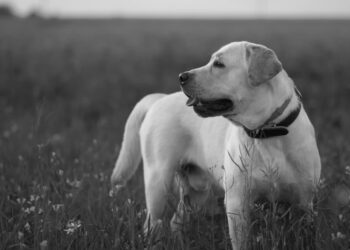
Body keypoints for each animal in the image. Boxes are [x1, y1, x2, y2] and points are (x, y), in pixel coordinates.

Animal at [110, 41, 322, 250]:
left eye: (219, 64)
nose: (181, 76)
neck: (267, 131)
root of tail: (160, 98)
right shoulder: (237, 203)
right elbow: (241, 243)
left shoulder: (304, 203)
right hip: (158, 182)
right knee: (152, 225)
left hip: (196, 192)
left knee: (175, 222)